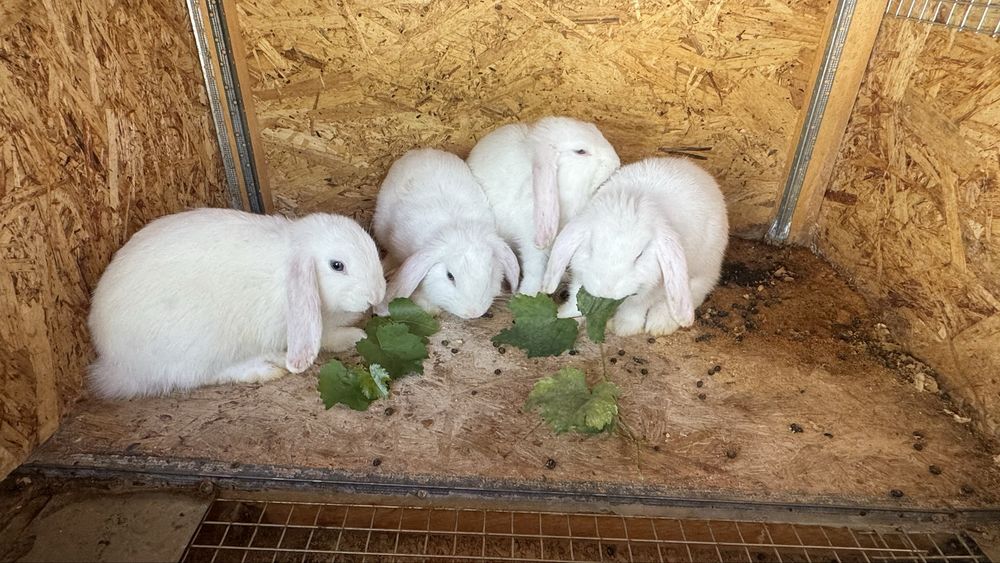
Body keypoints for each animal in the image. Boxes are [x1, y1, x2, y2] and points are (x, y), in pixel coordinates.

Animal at [87, 208, 386, 399]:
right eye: (337, 266)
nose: (376, 294)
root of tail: (115, 364)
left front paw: (354, 334)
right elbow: (322, 337)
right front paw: (352, 336)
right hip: (203, 344)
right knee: (201, 375)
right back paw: (264, 369)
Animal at [372, 148, 520, 319]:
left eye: (490, 273)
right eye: (450, 276)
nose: (473, 312)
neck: (458, 229)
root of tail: (422, 151)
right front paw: (433, 310)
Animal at [540, 157, 729, 337]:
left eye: (640, 255)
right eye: (591, 247)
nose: (607, 291)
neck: (631, 199)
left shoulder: (653, 286)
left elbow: (635, 307)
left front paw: (623, 328)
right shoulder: (580, 277)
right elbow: (574, 299)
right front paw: (563, 317)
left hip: (699, 271)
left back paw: (660, 324)